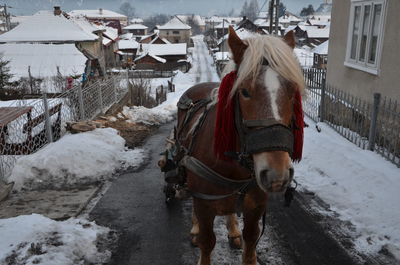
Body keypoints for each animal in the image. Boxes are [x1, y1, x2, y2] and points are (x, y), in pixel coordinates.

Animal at [161, 26, 304, 264]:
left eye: (292, 91)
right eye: (244, 91)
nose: (277, 175)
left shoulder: (256, 207)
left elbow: (250, 242)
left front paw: (239, 234)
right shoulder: (204, 204)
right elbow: (207, 242)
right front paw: (199, 234)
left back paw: (233, 230)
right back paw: (195, 228)